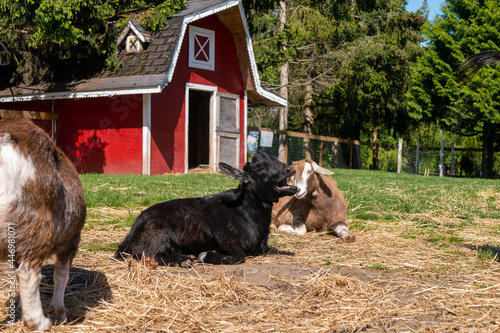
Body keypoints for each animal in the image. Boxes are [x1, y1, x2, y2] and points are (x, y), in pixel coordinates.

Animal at [116, 150, 296, 264]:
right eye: (259, 168)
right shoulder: (224, 236)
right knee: (148, 253)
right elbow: (240, 255)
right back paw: (183, 260)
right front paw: (205, 256)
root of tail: (133, 230)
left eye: (275, 158)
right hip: (159, 234)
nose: (290, 169)